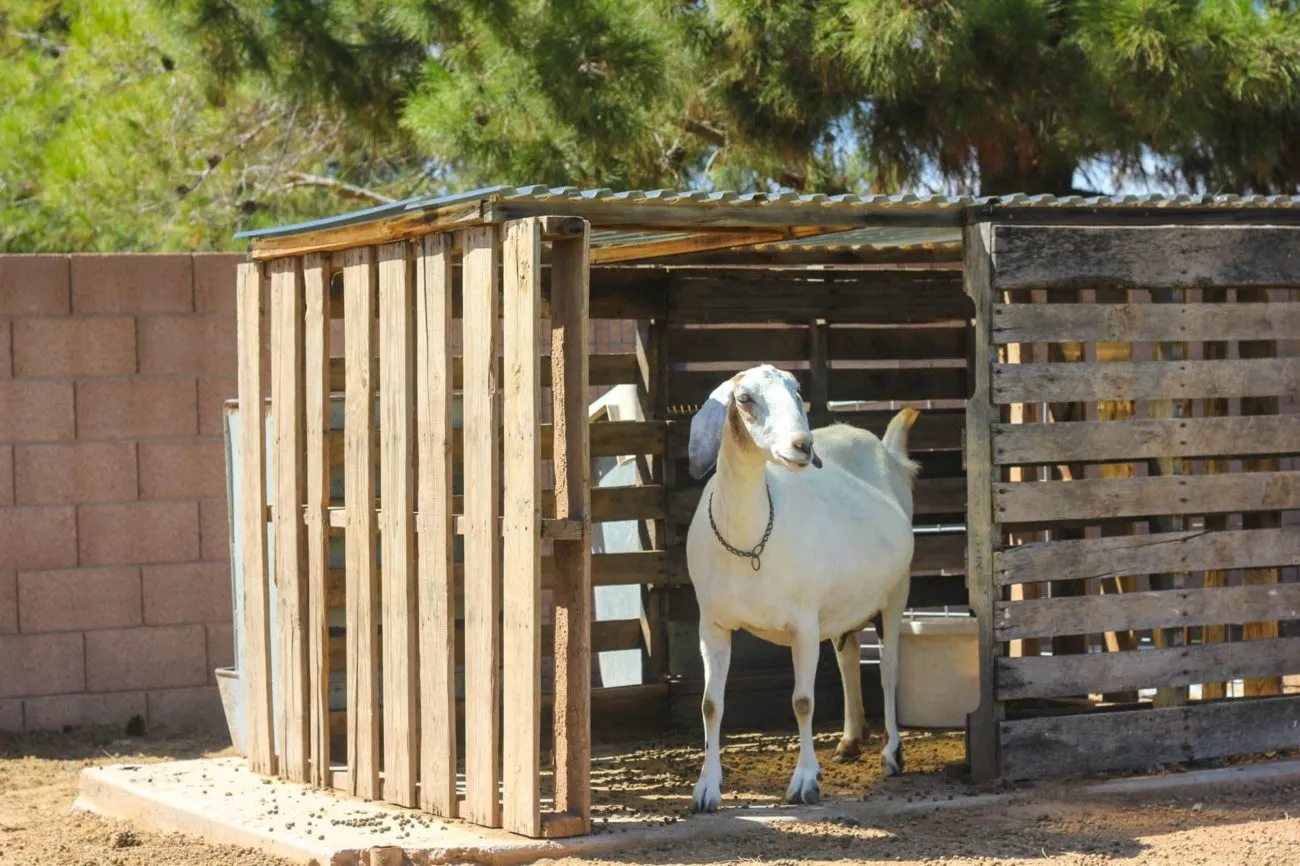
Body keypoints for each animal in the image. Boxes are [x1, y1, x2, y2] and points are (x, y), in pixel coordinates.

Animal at [686, 361, 920, 806]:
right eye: (745, 399)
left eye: (798, 391)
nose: (802, 446)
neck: (749, 542)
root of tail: (884, 449)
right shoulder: (711, 623)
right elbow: (709, 704)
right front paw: (706, 789)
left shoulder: (804, 624)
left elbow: (803, 701)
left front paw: (805, 781)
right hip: (846, 600)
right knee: (848, 655)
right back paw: (849, 741)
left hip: (897, 590)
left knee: (889, 669)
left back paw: (892, 754)